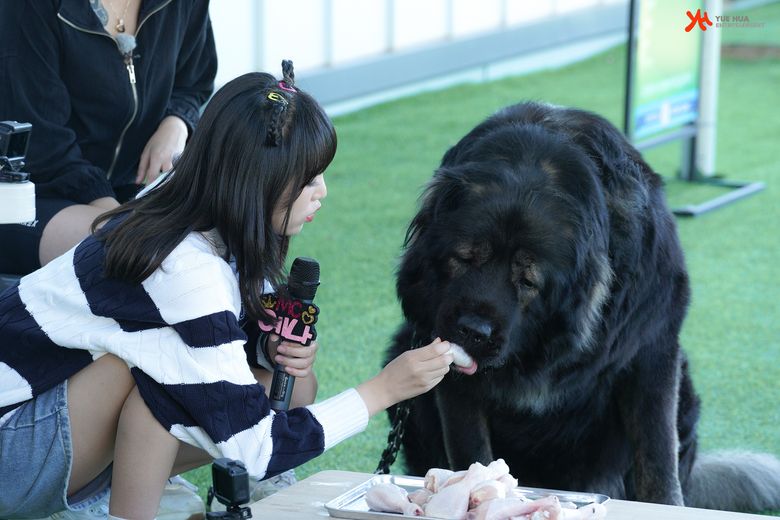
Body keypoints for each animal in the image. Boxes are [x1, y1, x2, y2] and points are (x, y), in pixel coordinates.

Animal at [388, 102, 780, 512]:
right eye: (464, 258)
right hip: (401, 349)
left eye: (527, 281)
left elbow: (657, 457)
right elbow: (470, 448)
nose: (472, 331)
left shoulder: (653, 350)